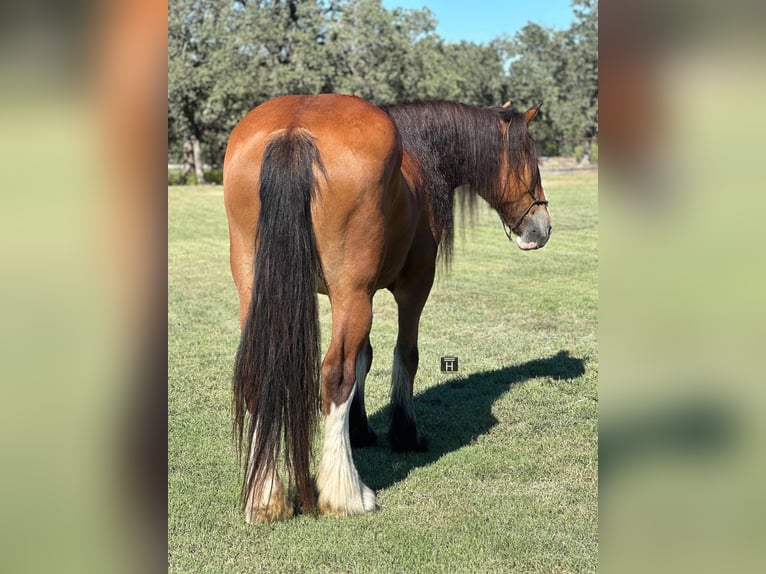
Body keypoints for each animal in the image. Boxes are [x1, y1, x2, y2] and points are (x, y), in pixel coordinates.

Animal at [223, 94, 551, 523]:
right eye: (531, 159)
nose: (542, 227)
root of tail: (293, 129)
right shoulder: (413, 287)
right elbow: (404, 356)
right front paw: (405, 433)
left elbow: (365, 356)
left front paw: (360, 430)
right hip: (353, 294)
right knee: (335, 374)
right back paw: (345, 494)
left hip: (259, 291)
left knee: (260, 368)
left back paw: (265, 497)